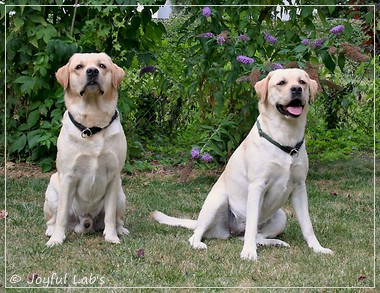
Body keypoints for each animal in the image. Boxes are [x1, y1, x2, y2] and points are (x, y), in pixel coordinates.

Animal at [44, 52, 129, 246]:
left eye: (102, 66)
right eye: (79, 67)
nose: (92, 71)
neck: (92, 125)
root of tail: (86, 220)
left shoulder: (113, 176)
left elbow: (110, 215)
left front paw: (111, 236)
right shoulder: (68, 176)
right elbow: (61, 216)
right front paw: (56, 239)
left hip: (121, 194)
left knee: (117, 218)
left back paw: (120, 230)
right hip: (52, 189)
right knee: (53, 218)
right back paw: (51, 231)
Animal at [153, 68, 334, 260]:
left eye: (302, 82)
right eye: (281, 83)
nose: (296, 89)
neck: (286, 139)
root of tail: (233, 231)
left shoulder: (299, 187)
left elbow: (307, 225)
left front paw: (318, 248)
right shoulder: (257, 186)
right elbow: (252, 224)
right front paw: (248, 252)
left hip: (281, 216)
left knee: (254, 235)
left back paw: (274, 242)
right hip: (217, 202)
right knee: (201, 234)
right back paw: (199, 243)